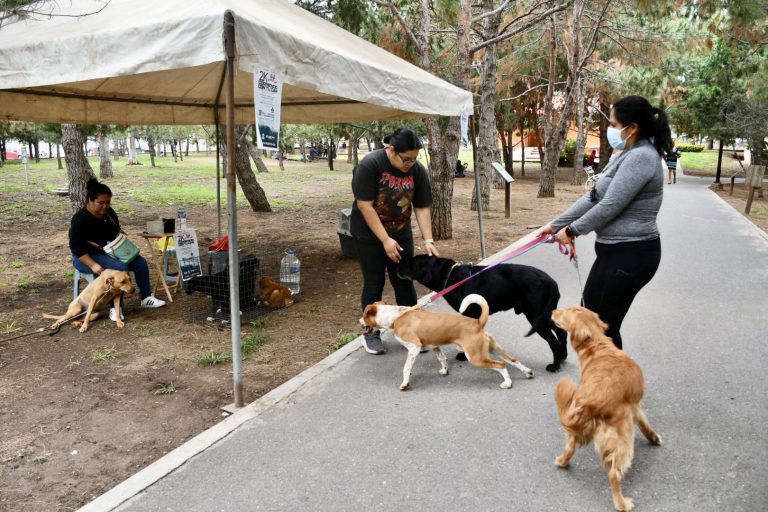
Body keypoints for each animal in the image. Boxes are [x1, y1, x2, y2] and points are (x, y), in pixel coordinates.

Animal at [356, 294, 532, 390]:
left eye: (364, 315)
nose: (359, 322)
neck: (397, 316)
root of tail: (477, 322)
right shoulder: (435, 346)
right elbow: (443, 359)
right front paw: (445, 370)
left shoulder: (414, 347)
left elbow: (406, 368)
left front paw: (405, 384)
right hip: (493, 349)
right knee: (512, 360)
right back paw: (527, 372)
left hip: (476, 357)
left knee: (501, 365)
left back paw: (507, 383)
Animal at [400, 255, 568, 372]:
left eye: (411, 263)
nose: (397, 270)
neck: (451, 276)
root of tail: (551, 281)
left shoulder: (469, 314)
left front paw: (462, 355)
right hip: (545, 314)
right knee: (562, 333)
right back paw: (563, 357)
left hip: (536, 316)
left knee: (553, 342)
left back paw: (555, 366)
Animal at [548, 306, 664, 510]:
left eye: (565, 312)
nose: (553, 310)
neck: (597, 345)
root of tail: (590, 401)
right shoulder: (635, 408)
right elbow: (646, 425)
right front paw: (654, 438)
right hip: (624, 438)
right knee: (613, 474)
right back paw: (622, 503)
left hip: (575, 428)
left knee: (570, 449)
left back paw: (562, 461)